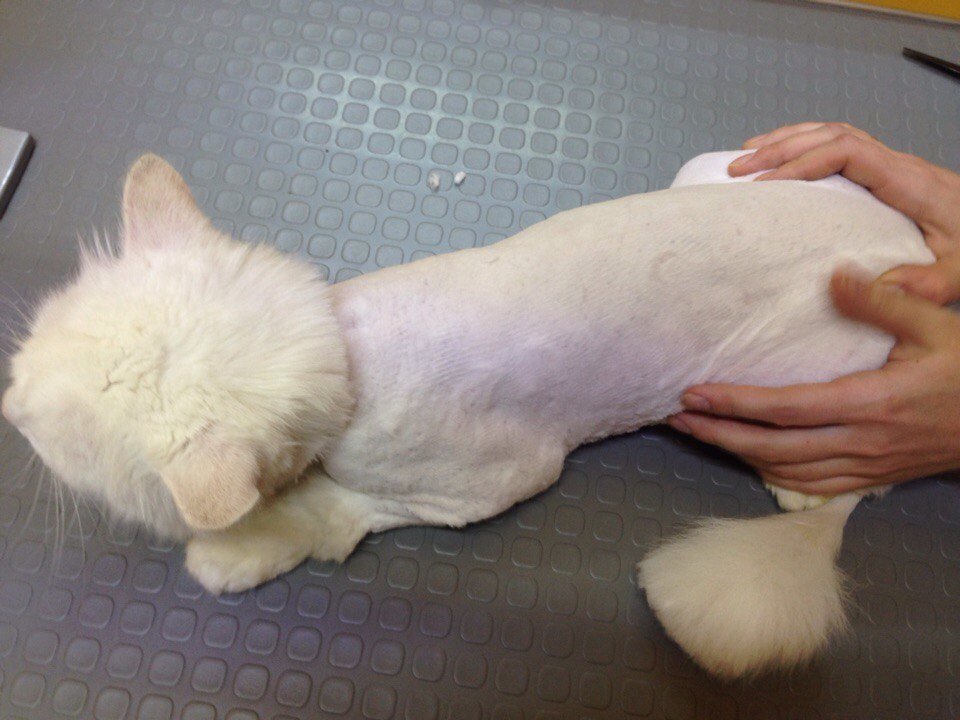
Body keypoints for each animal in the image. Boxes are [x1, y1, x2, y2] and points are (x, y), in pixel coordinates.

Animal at [1, 151, 932, 679]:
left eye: (51, 437)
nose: (6, 406)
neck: (345, 349)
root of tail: (914, 257)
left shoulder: (497, 477)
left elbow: (346, 508)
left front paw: (251, 544)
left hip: (792, 388)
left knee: (841, 490)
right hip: (726, 171)